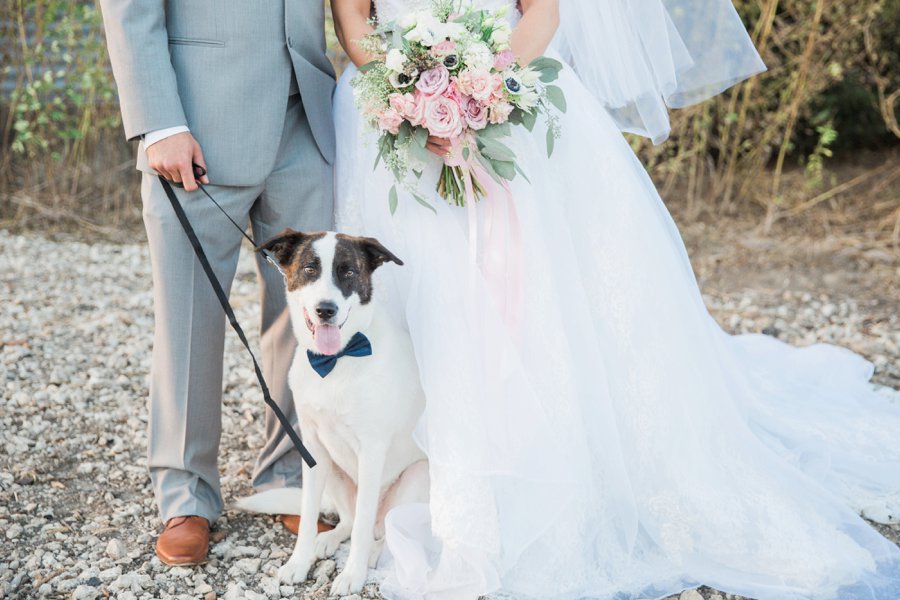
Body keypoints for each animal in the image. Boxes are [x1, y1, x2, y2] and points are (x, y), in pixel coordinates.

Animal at [239, 230, 428, 596]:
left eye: (348, 271)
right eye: (309, 269)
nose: (325, 310)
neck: (337, 360)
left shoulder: (372, 450)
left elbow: (363, 528)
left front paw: (353, 574)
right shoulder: (312, 447)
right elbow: (308, 517)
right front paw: (299, 563)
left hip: (418, 476)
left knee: (382, 529)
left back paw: (374, 552)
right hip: (335, 471)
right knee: (350, 521)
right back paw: (327, 541)